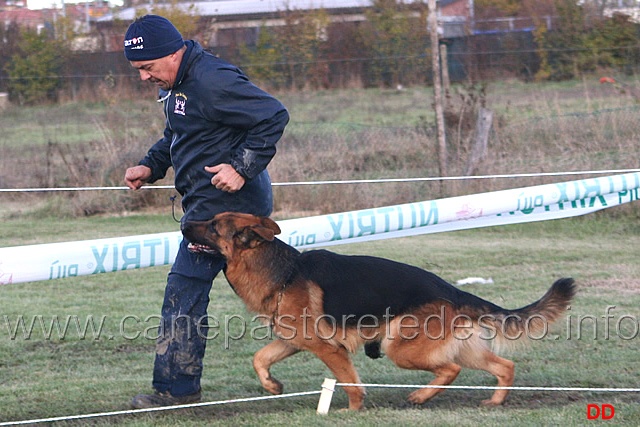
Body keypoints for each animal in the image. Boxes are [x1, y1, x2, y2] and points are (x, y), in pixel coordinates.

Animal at [181, 214, 576, 412]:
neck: (283, 273)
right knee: (503, 366)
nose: (183, 223)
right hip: (458, 347)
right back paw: (495, 401)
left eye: (213, 226)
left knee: (451, 369)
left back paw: (420, 397)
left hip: (399, 347)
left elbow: (350, 383)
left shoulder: (329, 350)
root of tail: (452, 289)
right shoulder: (292, 341)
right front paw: (272, 385)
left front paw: (352, 411)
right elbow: (260, 358)